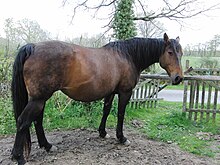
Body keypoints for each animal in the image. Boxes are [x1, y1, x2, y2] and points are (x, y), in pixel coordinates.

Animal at [11, 32, 183, 164]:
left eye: (180, 53)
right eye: (170, 52)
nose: (178, 78)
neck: (127, 56)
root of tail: (33, 47)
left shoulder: (110, 92)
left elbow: (106, 111)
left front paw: (102, 132)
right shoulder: (125, 92)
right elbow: (120, 114)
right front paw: (121, 138)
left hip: (40, 99)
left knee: (36, 121)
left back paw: (47, 146)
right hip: (38, 99)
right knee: (22, 122)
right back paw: (19, 157)